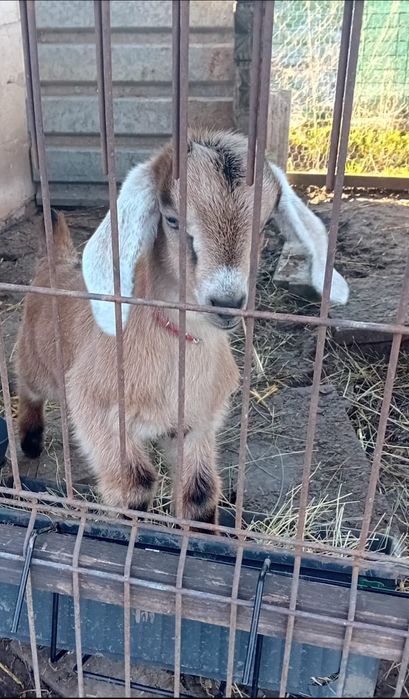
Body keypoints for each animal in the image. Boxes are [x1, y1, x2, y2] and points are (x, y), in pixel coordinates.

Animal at [15, 130, 349, 525]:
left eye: (266, 222)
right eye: (172, 220)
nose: (226, 300)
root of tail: (57, 262)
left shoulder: (196, 427)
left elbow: (200, 492)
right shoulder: (95, 408)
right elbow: (135, 485)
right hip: (36, 360)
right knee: (27, 388)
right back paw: (29, 441)